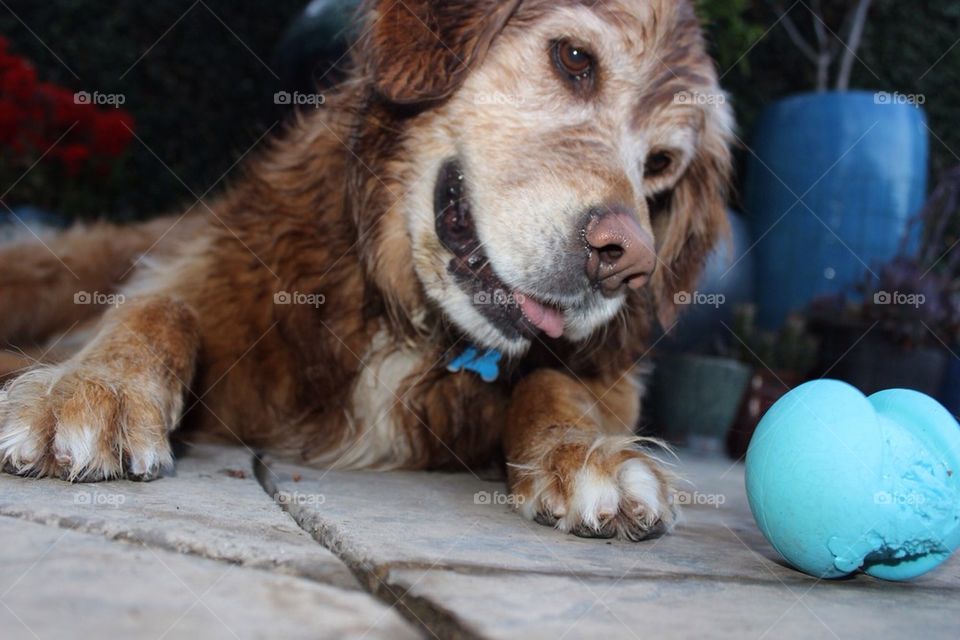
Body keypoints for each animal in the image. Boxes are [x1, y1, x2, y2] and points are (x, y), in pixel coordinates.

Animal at [0, 0, 732, 540]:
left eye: (662, 165)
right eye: (575, 59)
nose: (627, 261)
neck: (404, 313)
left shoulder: (606, 380)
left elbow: (554, 384)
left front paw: (582, 452)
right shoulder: (204, 276)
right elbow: (161, 308)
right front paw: (93, 387)